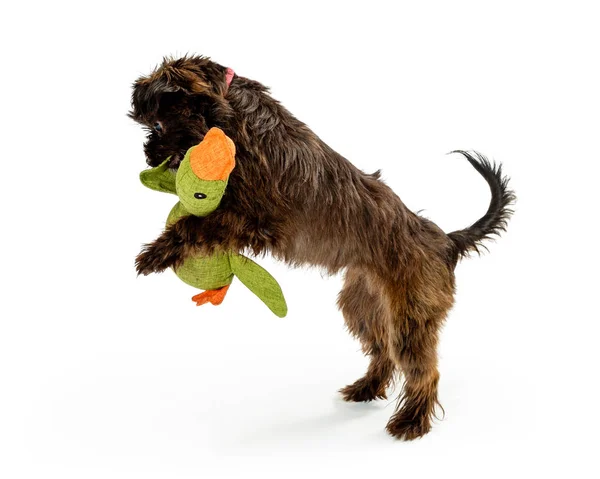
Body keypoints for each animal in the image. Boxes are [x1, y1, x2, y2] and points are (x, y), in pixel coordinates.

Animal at [131, 54, 516, 440]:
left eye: (159, 126)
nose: (149, 157)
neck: (234, 115)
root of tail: (447, 241)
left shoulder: (255, 216)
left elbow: (197, 224)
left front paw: (155, 254)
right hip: (362, 306)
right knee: (384, 352)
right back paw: (366, 388)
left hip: (411, 317)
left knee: (423, 369)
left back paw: (412, 421)